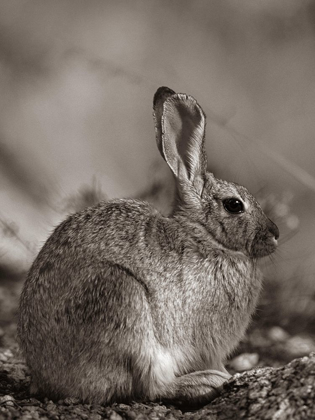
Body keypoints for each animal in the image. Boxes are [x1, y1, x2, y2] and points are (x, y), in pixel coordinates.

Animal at [17, 86, 278, 406]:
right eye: (234, 205)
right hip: (122, 303)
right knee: (150, 387)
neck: (204, 237)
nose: (275, 234)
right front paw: (226, 374)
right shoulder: (205, 340)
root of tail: (47, 379)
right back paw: (204, 383)